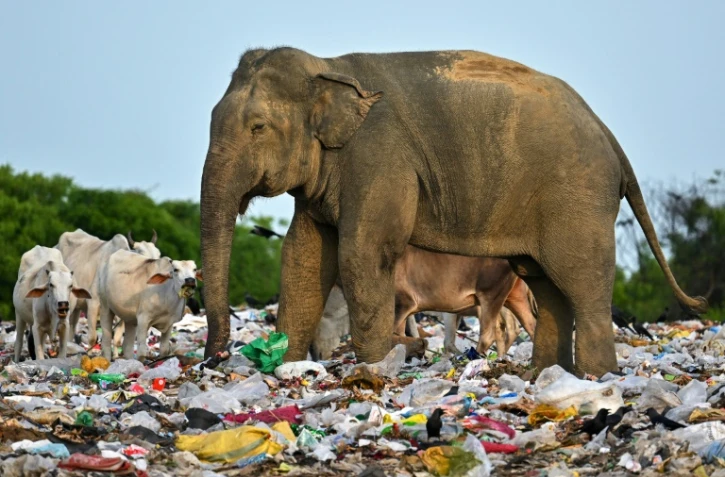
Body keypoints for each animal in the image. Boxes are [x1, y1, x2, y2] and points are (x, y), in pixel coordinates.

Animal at [200, 47, 707, 377]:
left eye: (258, 127)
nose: (215, 359)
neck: (329, 67)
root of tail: (608, 134)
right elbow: (302, 256)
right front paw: (286, 369)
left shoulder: (380, 155)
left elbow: (362, 252)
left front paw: (373, 371)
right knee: (544, 280)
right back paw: (542, 378)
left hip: (578, 195)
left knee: (580, 280)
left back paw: (594, 380)